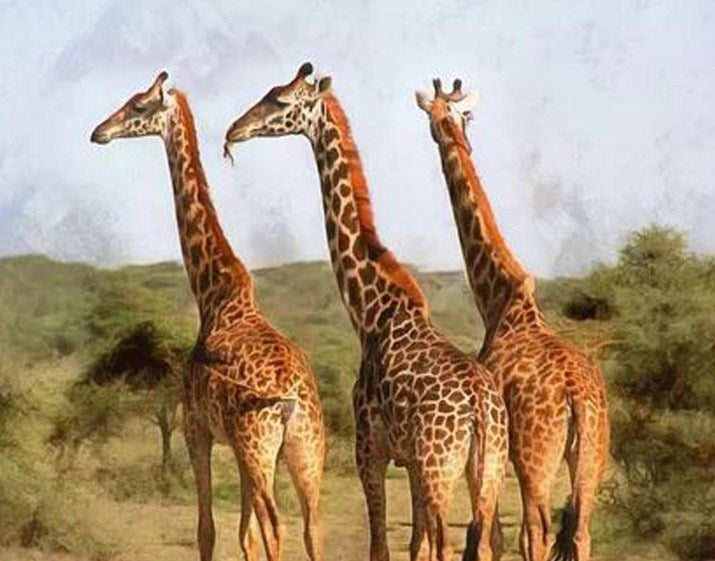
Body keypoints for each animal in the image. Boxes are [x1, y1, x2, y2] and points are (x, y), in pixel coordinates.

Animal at [90, 72, 326, 561]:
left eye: (138, 106)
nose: (99, 131)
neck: (214, 294)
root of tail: (292, 401)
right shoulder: (232, 443)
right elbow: (243, 535)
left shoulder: (196, 429)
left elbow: (209, 530)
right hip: (305, 449)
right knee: (313, 527)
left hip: (259, 444)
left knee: (276, 526)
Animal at [223, 63, 509, 561]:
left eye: (281, 100)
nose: (235, 130)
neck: (372, 312)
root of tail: (479, 408)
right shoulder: (408, 461)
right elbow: (413, 546)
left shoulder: (368, 450)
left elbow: (382, 544)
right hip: (486, 470)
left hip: (440, 467)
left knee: (447, 541)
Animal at [415, 79, 609, 561]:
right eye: (453, 116)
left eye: (438, 116)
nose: (445, 134)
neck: (499, 302)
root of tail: (577, 396)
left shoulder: (496, 453)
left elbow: (494, 536)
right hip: (593, 456)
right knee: (581, 531)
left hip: (536, 456)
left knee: (537, 530)